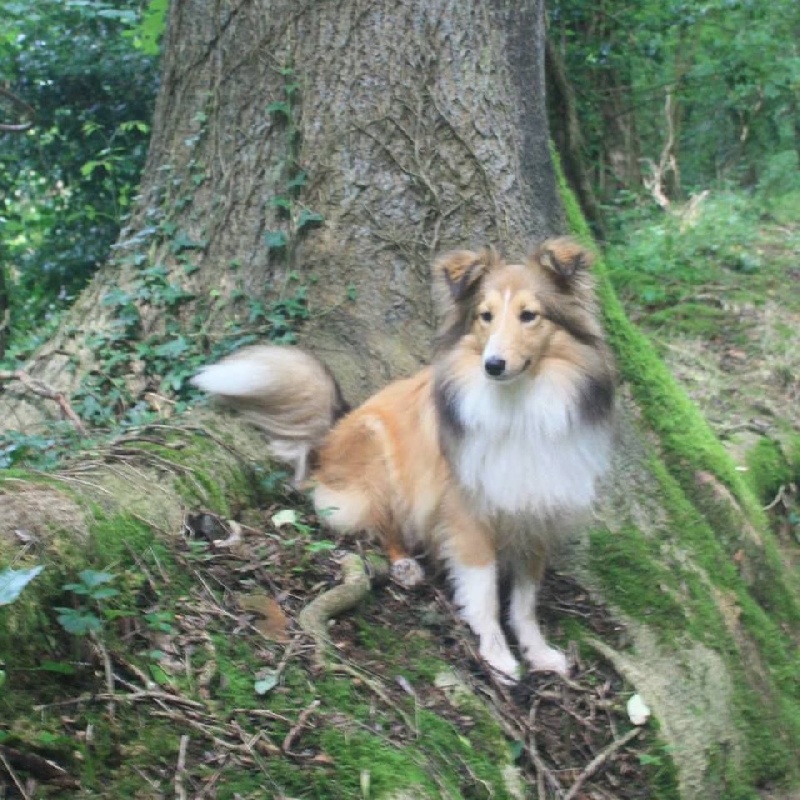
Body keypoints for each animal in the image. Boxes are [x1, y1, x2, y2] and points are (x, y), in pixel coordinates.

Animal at [192, 238, 612, 680]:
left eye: (529, 315)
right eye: (485, 316)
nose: (493, 365)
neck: (520, 405)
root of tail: (332, 432)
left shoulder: (538, 513)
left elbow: (525, 601)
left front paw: (539, 653)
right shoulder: (466, 513)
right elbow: (483, 593)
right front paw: (498, 657)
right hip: (380, 455)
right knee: (380, 524)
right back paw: (405, 565)